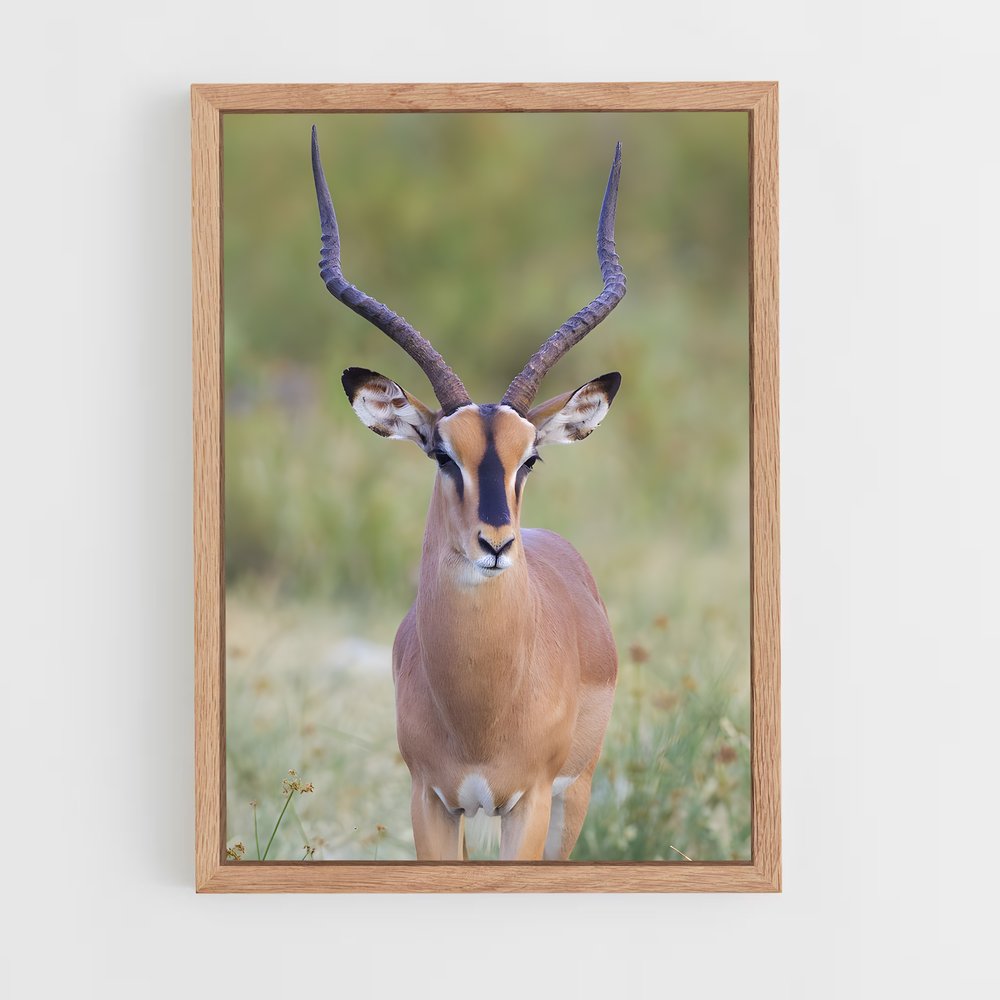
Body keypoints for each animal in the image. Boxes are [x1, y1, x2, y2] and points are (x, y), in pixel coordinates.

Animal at [311, 126, 626, 860]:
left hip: (575, 797)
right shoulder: (431, 801)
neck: (481, 707)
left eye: (529, 457)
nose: (495, 541)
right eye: (441, 453)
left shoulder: (529, 804)